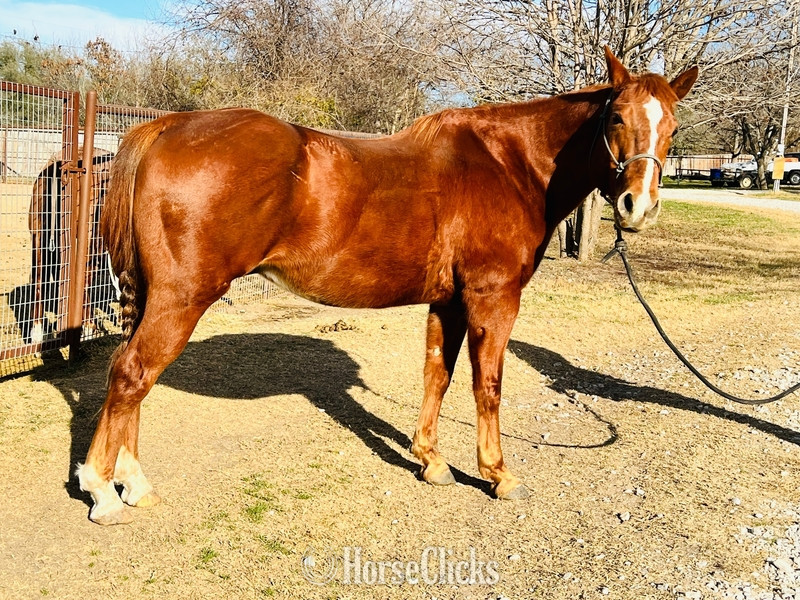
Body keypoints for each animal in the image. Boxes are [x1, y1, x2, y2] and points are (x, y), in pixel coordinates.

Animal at [77, 47, 698, 525]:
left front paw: (431, 461)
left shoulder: (448, 302)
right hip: (182, 297)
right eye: (616, 118)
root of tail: (169, 126)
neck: (510, 164)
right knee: (132, 375)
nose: (637, 207)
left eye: (672, 127)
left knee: (131, 381)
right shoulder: (492, 298)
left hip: (153, 298)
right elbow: (488, 385)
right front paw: (497, 473)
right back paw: (103, 491)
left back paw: (131, 483)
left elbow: (437, 376)